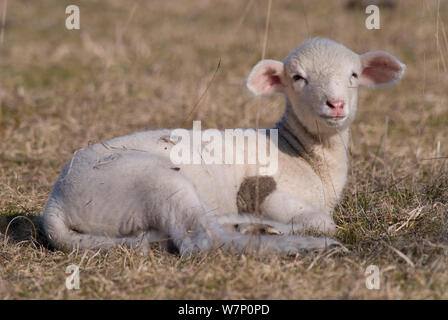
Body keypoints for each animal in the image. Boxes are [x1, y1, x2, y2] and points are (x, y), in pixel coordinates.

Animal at [42, 38, 406, 255]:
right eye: (297, 77)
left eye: (355, 75)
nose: (335, 104)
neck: (302, 154)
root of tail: (55, 205)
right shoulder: (262, 189)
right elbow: (322, 221)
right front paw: (301, 230)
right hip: (154, 182)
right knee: (204, 241)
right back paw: (304, 244)